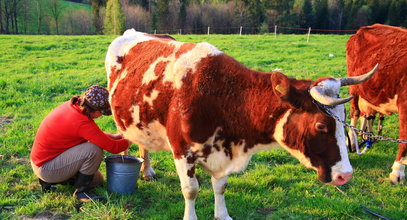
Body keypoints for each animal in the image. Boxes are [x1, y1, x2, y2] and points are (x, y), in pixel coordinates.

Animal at [107, 29, 378, 220]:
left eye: (344, 121)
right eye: (321, 126)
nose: (346, 175)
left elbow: (221, 186)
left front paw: (222, 214)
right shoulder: (182, 150)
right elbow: (191, 189)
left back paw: (147, 170)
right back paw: (146, 170)